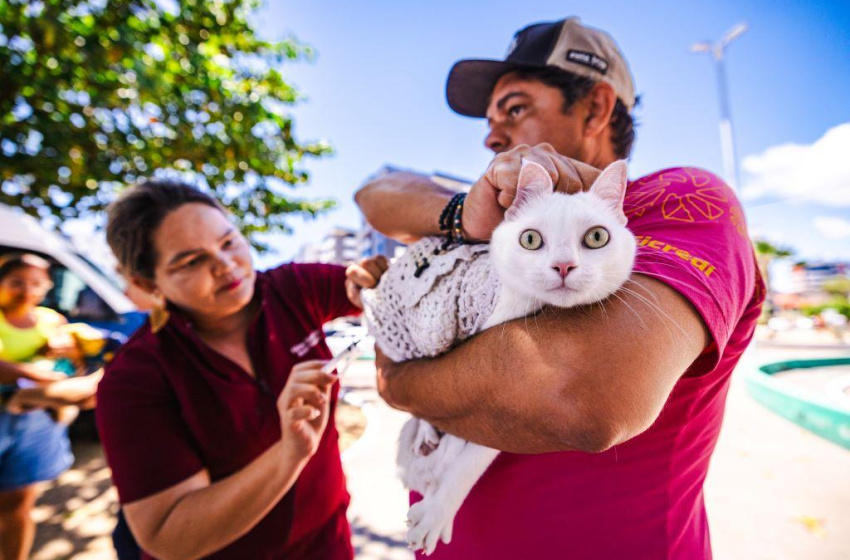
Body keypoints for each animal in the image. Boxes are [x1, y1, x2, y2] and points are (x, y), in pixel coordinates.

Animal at [362, 159, 632, 556]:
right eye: (530, 239)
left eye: (597, 237)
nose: (564, 266)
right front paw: (436, 500)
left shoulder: (504, 404)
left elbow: (473, 455)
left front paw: (439, 500)